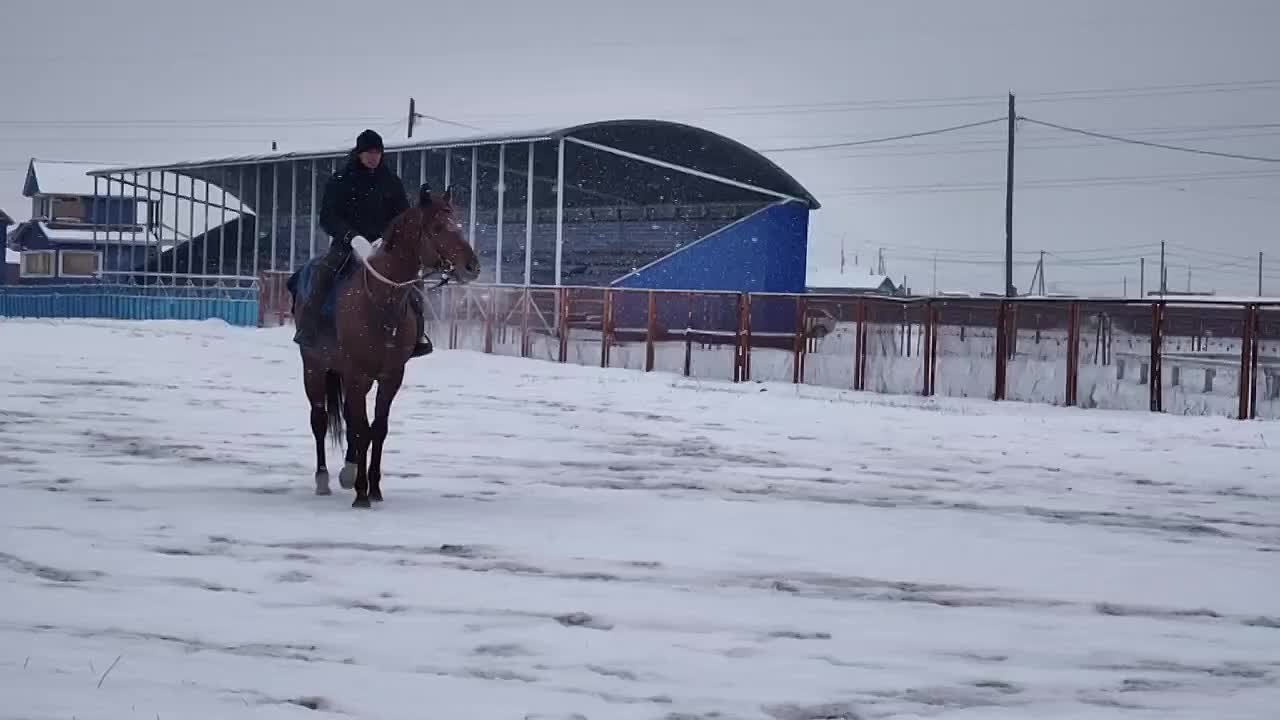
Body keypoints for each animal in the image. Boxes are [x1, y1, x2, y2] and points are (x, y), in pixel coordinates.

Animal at [288, 185, 479, 508]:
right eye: (438, 228)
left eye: (459, 224)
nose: (472, 267)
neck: (380, 301)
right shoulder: (357, 375)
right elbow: (361, 429)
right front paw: (361, 494)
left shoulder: (391, 376)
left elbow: (376, 429)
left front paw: (373, 488)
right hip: (314, 368)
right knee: (320, 419)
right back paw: (323, 479)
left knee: (350, 421)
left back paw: (349, 471)